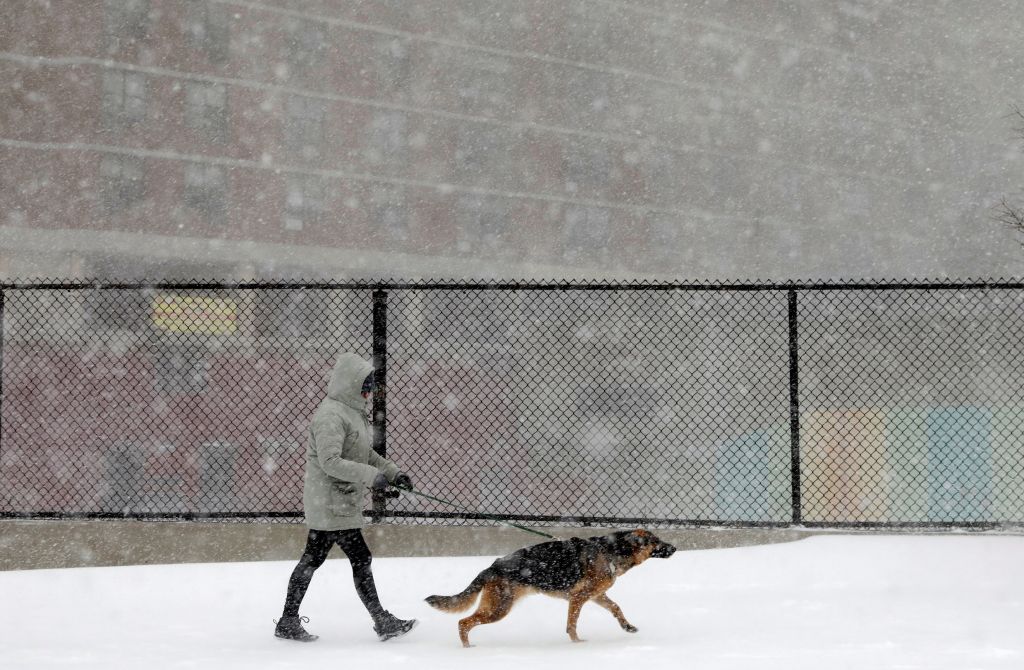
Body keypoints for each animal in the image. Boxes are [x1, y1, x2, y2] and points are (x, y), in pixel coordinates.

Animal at [421, 532, 671, 647]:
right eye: (656, 541)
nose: (674, 547)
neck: (612, 550)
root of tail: (492, 566)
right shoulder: (579, 597)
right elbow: (572, 624)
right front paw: (577, 644)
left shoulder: (597, 595)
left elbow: (616, 608)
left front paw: (627, 627)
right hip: (499, 609)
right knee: (463, 622)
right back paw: (468, 647)